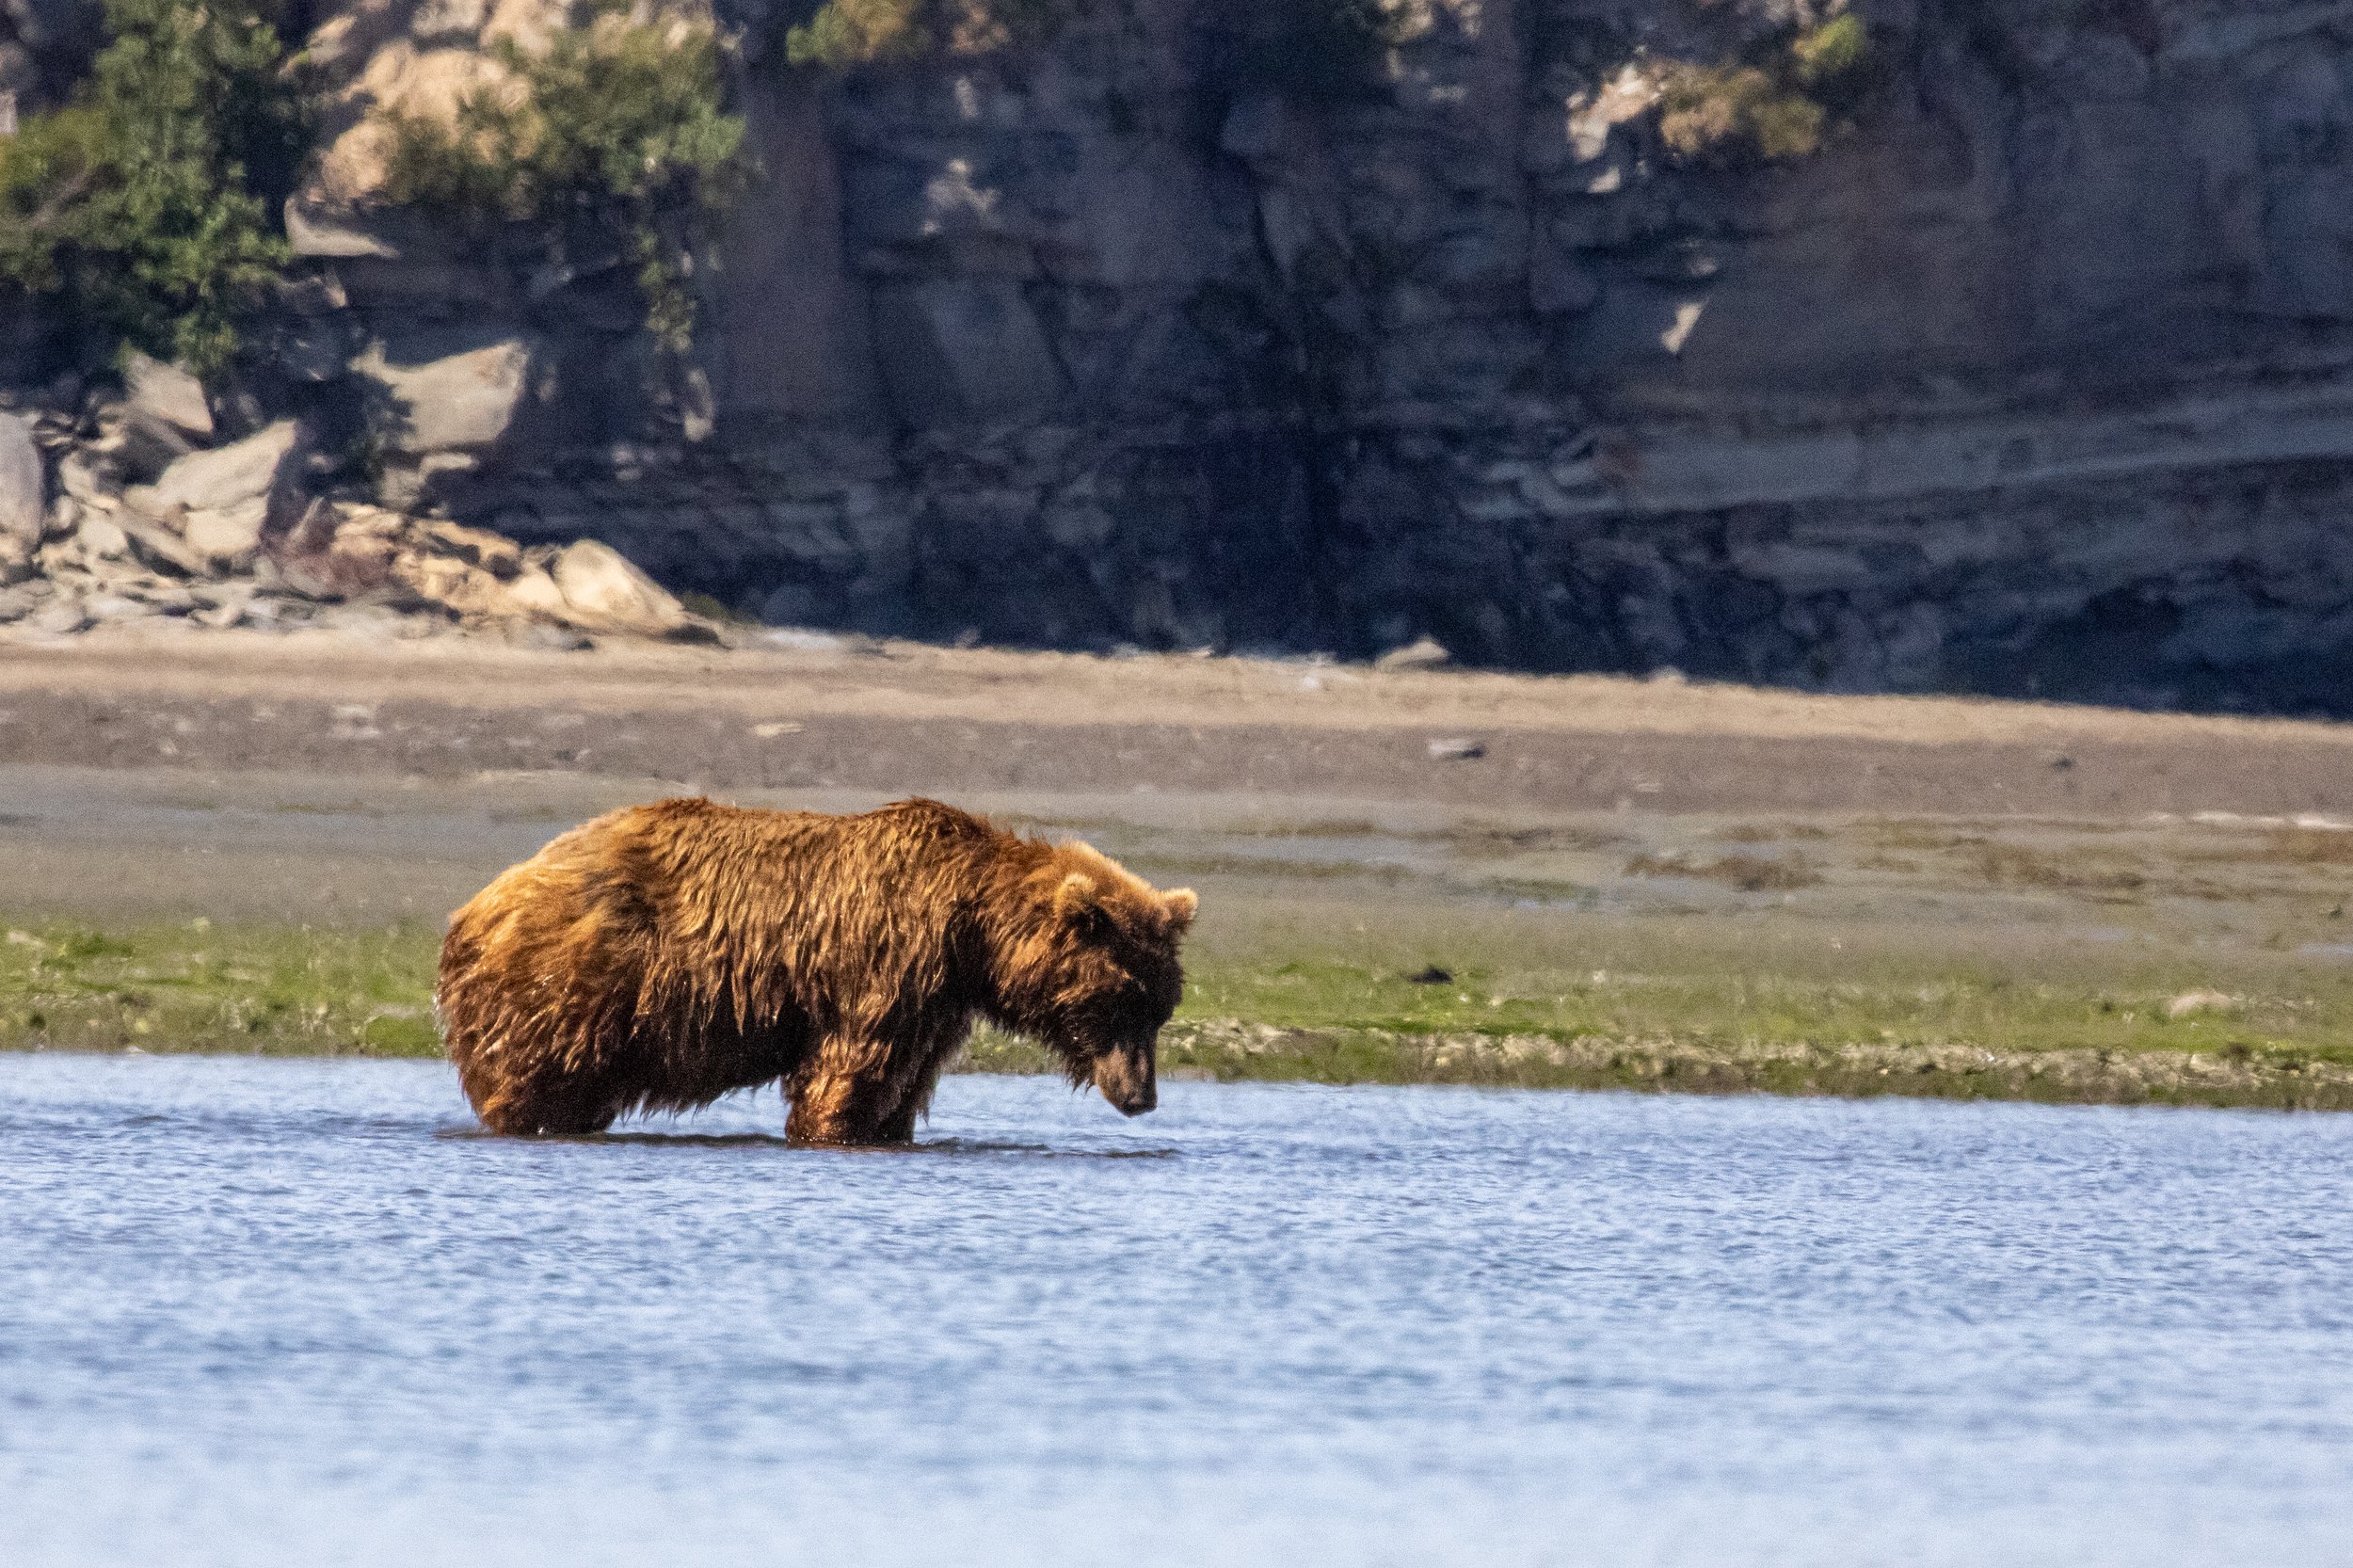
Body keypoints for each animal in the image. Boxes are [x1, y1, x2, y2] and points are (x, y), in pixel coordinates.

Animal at [436, 796, 1197, 1143]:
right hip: (570, 986)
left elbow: (902, 1085)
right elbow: (849, 1074)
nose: (1142, 1095)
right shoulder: (887, 968)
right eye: (1118, 999)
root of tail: (476, 903)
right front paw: (831, 1129)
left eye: (1161, 1008)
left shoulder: (937, 1005)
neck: (972, 930)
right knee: (536, 1080)